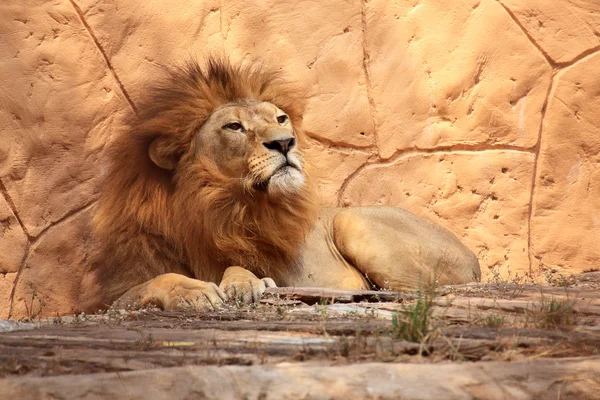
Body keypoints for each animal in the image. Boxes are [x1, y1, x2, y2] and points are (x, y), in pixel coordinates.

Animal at [86, 57, 480, 312]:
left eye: (280, 118)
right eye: (234, 126)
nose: (285, 142)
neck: (215, 203)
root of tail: (474, 258)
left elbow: (239, 268)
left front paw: (245, 283)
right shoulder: (107, 299)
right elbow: (152, 283)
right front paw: (191, 292)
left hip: (351, 221)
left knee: (421, 291)